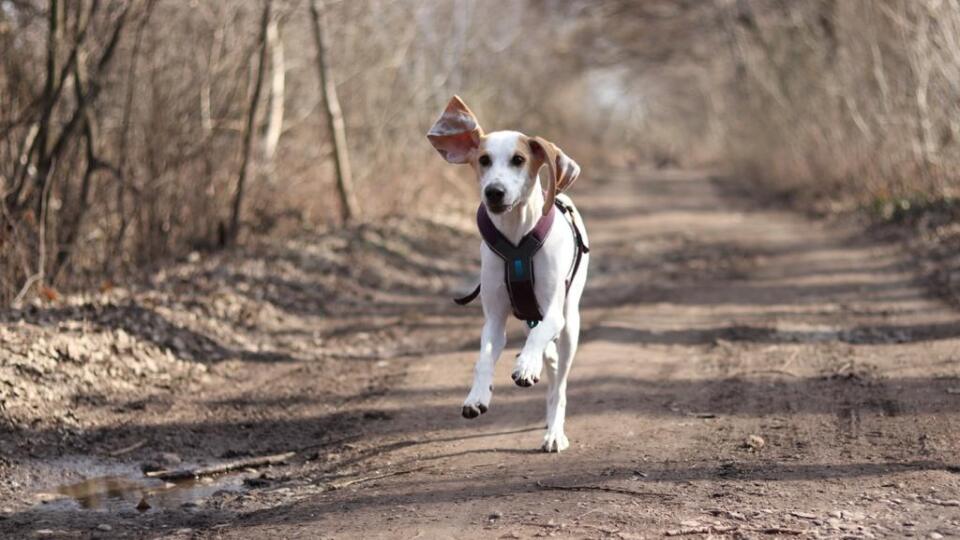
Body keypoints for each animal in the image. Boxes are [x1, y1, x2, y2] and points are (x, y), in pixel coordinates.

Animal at [426, 96, 588, 452]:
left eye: (518, 160)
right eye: (483, 160)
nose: (494, 192)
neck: (516, 237)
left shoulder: (553, 312)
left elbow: (539, 337)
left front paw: (526, 365)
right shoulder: (495, 319)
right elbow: (484, 358)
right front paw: (477, 396)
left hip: (571, 322)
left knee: (559, 385)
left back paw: (554, 432)